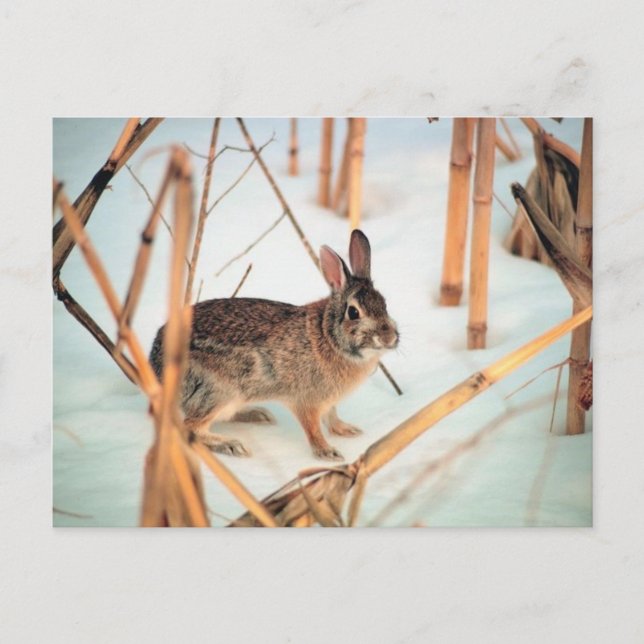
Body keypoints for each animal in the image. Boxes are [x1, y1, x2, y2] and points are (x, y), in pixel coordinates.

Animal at [149, 229, 399, 461]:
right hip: (218, 392)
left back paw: (258, 415)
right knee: (191, 427)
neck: (328, 337)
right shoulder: (306, 401)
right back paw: (232, 445)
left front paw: (347, 430)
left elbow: (332, 416)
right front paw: (328, 452)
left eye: (385, 304)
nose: (390, 338)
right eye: (353, 312)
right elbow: (313, 428)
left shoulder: (328, 401)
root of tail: (155, 367)